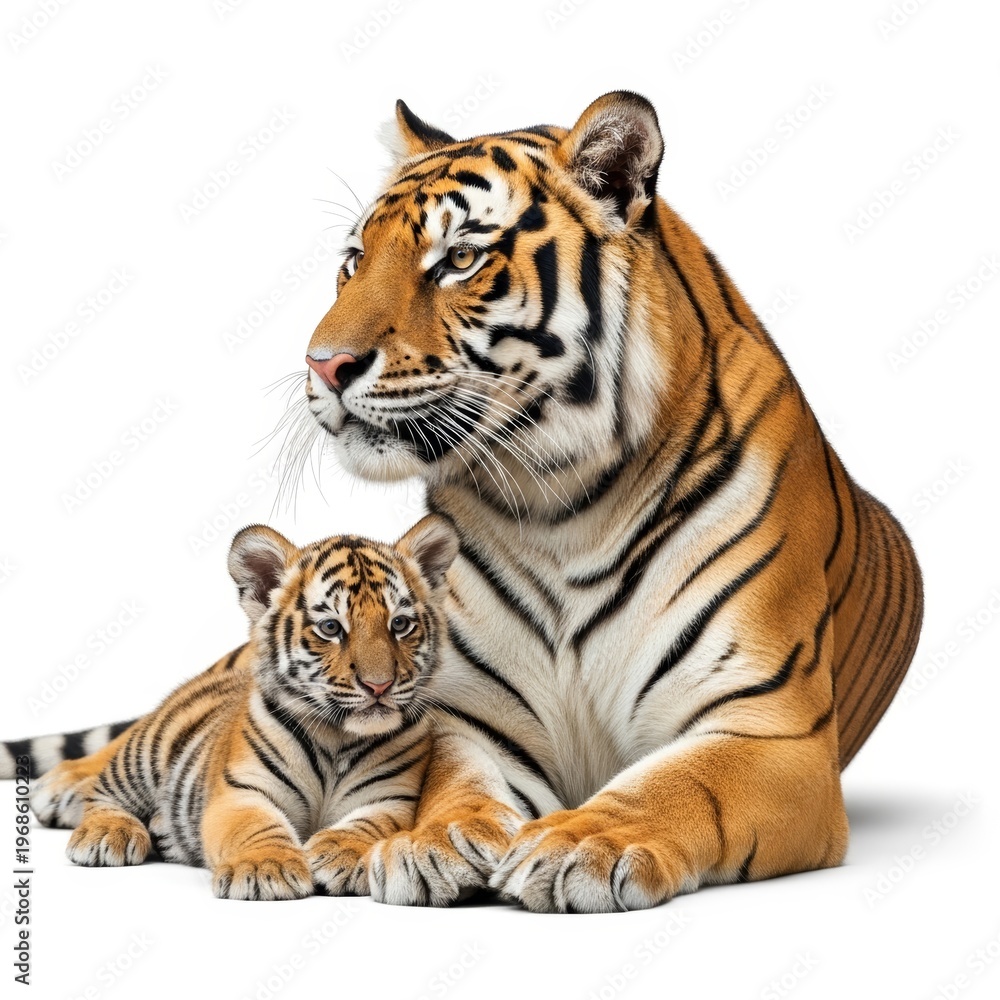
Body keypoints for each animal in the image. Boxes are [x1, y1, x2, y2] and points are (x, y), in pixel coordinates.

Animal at [4, 515, 457, 900]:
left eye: (400, 624)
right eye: (331, 628)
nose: (379, 685)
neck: (337, 738)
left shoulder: (391, 797)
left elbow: (369, 825)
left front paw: (339, 854)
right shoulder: (242, 790)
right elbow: (253, 827)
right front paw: (265, 869)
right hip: (147, 751)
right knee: (104, 791)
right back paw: (104, 833)